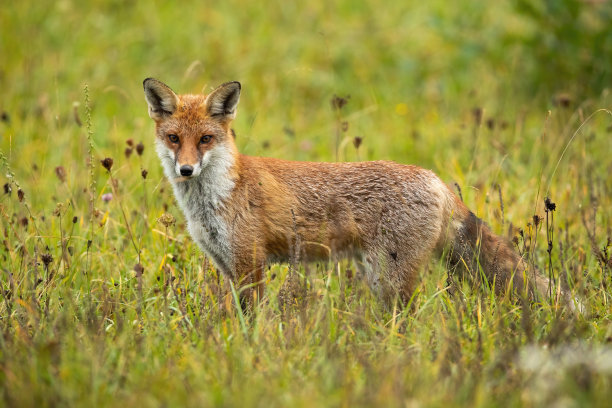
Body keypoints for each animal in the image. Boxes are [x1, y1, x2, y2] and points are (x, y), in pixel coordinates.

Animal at [142, 78, 580, 310]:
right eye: (175, 138)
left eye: (205, 139)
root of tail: (434, 178)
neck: (214, 199)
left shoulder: (251, 262)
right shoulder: (229, 265)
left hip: (390, 278)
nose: (185, 169)